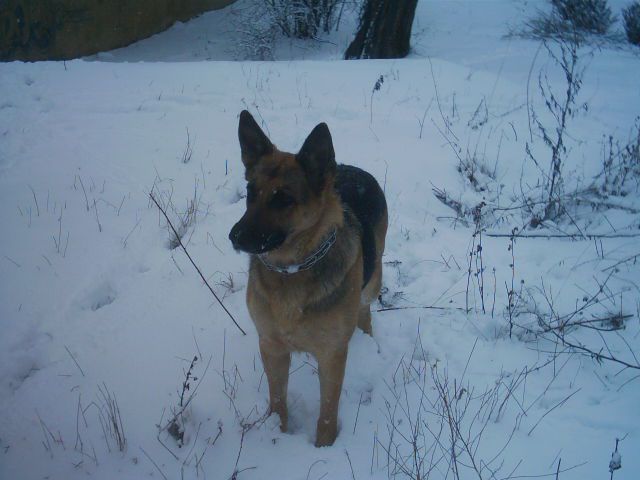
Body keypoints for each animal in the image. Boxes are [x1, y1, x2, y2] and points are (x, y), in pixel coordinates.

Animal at [229, 110, 388, 447]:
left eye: (283, 199)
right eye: (250, 193)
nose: (235, 236)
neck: (292, 268)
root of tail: (348, 167)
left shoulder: (331, 356)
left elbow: (327, 411)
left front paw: (324, 447)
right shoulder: (272, 347)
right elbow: (277, 400)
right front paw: (275, 434)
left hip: (374, 277)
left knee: (365, 309)